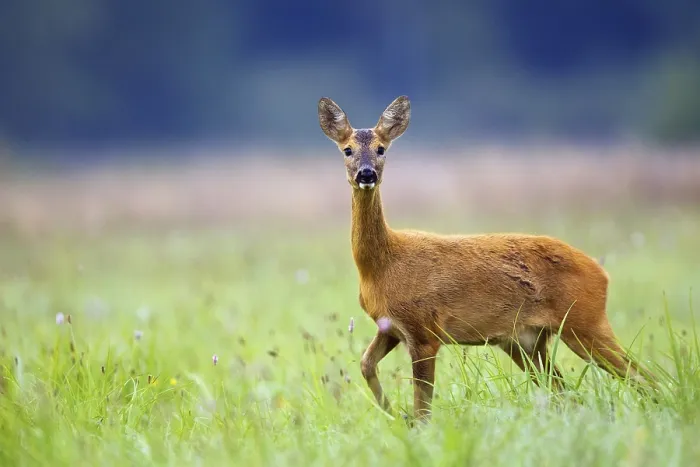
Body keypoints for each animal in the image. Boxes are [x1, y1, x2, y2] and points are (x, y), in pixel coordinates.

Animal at [317, 95, 658, 423]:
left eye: (381, 149)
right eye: (347, 150)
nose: (367, 174)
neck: (382, 264)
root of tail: (602, 273)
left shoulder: (424, 329)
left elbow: (423, 406)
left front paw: (410, 423)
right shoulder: (390, 327)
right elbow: (366, 364)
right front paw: (392, 413)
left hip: (585, 322)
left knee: (643, 377)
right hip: (526, 341)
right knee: (567, 393)